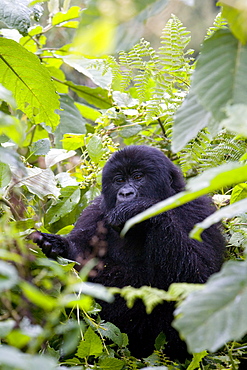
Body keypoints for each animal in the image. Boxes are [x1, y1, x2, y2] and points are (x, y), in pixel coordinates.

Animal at [29, 145, 225, 362]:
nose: (125, 193)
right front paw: (57, 246)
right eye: (119, 180)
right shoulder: (93, 213)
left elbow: (199, 279)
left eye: (138, 177)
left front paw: (139, 210)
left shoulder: (199, 211)